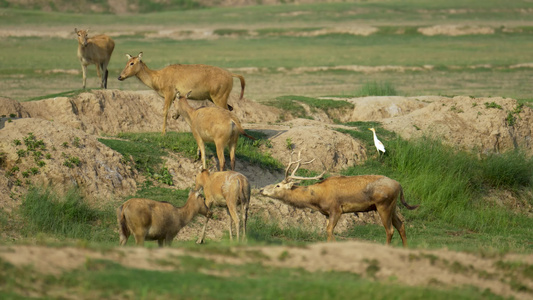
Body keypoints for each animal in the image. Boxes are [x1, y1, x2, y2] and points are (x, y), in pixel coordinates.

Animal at [116, 52, 245, 135]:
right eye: (127, 62)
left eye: (132, 63)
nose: (120, 77)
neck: (158, 76)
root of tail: (231, 75)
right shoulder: (175, 97)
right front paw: (175, 116)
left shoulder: (169, 94)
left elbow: (164, 111)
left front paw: (163, 132)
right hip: (215, 98)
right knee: (231, 108)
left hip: (219, 98)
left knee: (227, 111)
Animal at [260, 151, 418, 247]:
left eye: (278, 185)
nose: (261, 190)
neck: (317, 199)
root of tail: (399, 184)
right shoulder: (326, 213)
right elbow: (328, 230)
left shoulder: (336, 209)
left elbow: (329, 230)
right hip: (393, 206)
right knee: (401, 225)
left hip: (383, 204)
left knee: (390, 229)